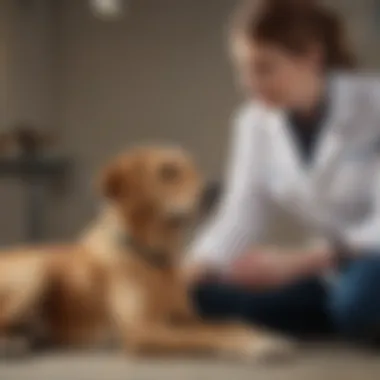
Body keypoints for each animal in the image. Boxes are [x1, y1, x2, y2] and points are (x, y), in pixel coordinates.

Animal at [0, 146, 294, 362]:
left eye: (193, 167)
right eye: (167, 171)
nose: (216, 189)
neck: (155, 261)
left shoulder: (184, 316)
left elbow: (225, 322)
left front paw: (257, 331)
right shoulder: (142, 330)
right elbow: (205, 335)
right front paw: (256, 344)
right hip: (34, 269)